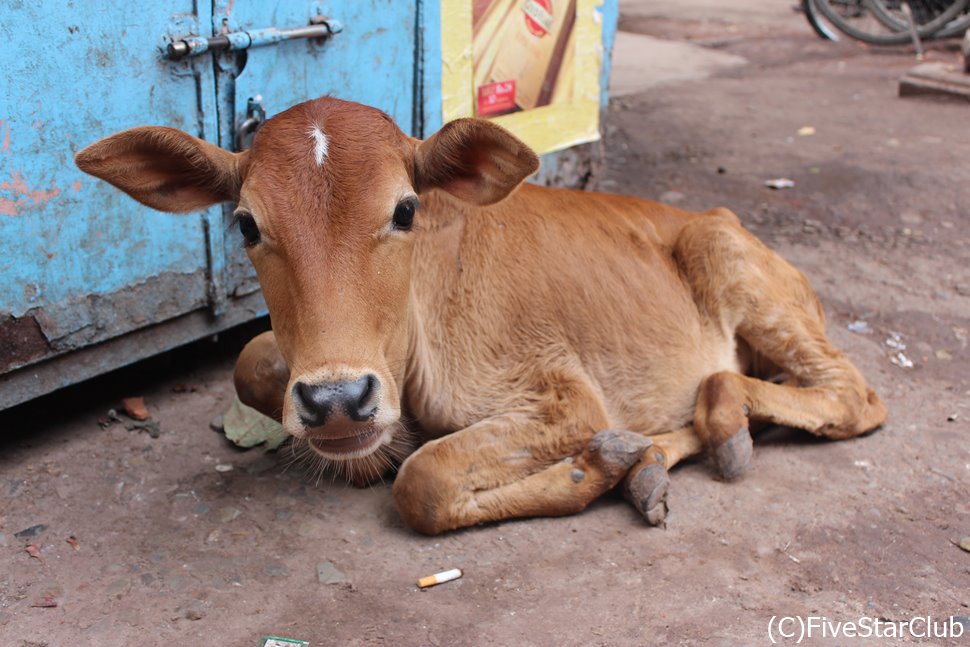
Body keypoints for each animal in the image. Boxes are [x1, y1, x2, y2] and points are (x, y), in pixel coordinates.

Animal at [75, 97, 884, 536]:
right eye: (245, 224)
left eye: (405, 209)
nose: (338, 400)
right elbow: (249, 363)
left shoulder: (564, 394)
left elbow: (424, 482)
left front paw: (590, 467)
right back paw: (649, 462)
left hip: (734, 262)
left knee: (852, 394)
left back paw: (713, 429)